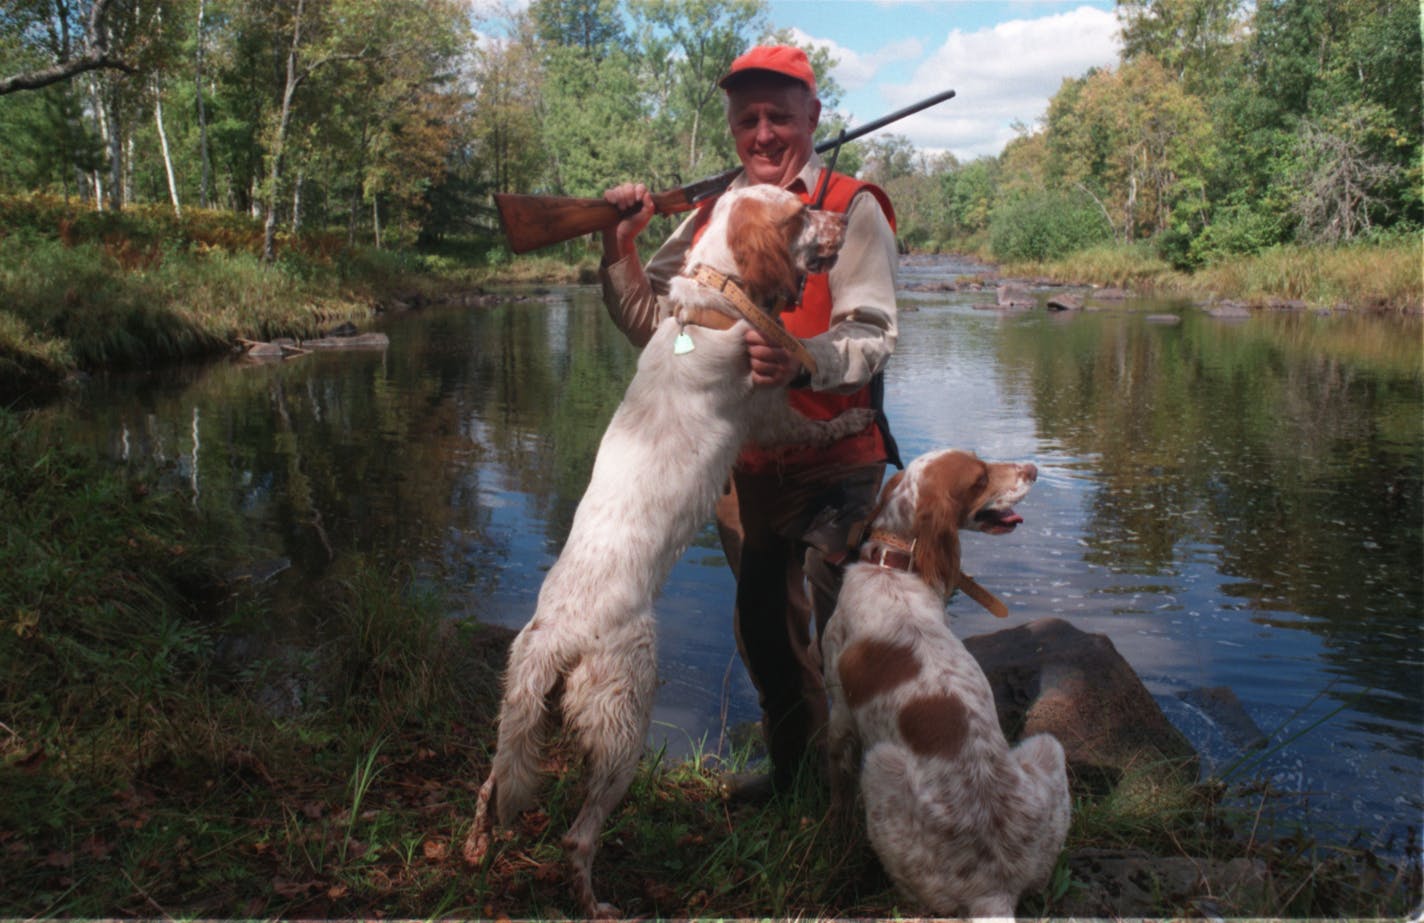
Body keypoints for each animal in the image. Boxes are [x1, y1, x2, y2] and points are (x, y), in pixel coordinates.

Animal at [461, 183, 871, 917]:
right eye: (799, 213)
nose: (840, 218)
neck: (713, 297)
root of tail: (557, 636)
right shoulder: (768, 411)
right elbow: (812, 421)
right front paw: (853, 416)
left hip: (517, 713)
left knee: (492, 784)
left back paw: (476, 848)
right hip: (625, 722)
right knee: (577, 836)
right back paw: (595, 902)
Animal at [825, 447, 1070, 917]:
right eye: (979, 478)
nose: (1033, 469)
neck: (893, 568)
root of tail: (995, 890)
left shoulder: (840, 715)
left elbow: (838, 782)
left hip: (881, 766)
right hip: (1049, 747)